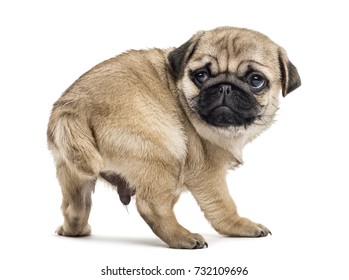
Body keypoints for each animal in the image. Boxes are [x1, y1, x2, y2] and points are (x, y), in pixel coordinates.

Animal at [47, 26, 300, 248]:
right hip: (163, 151)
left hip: (72, 172)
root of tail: (74, 108)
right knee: (150, 206)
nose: (225, 87)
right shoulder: (209, 172)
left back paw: (74, 230)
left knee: (75, 208)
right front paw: (240, 226)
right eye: (201, 76)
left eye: (256, 80)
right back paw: (183, 238)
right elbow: (223, 207)